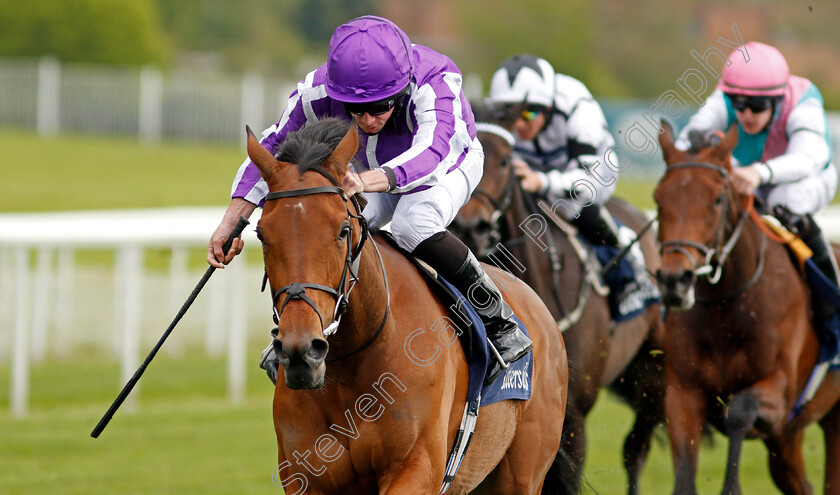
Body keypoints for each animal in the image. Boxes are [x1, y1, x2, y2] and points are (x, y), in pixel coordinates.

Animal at [246, 117, 568, 495]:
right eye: (262, 235)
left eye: (343, 230)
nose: (300, 350)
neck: (352, 367)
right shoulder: (305, 476)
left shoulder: (418, 466)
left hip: (523, 473)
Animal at [656, 121, 840, 495]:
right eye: (658, 198)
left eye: (717, 198)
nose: (674, 281)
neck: (726, 309)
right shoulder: (683, 393)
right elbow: (684, 477)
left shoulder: (781, 393)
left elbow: (739, 410)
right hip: (788, 439)